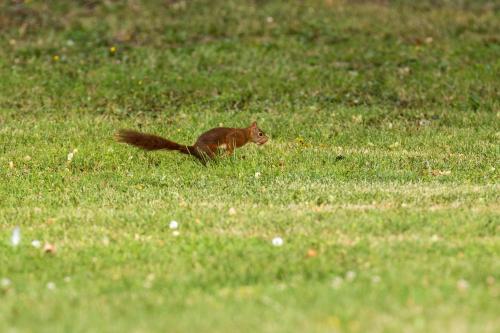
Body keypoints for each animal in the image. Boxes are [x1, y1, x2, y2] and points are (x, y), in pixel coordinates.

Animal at [115, 122, 268, 163]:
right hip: (210, 150)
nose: (267, 139)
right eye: (260, 133)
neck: (245, 134)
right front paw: (229, 154)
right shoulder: (234, 137)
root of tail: (193, 149)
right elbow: (230, 146)